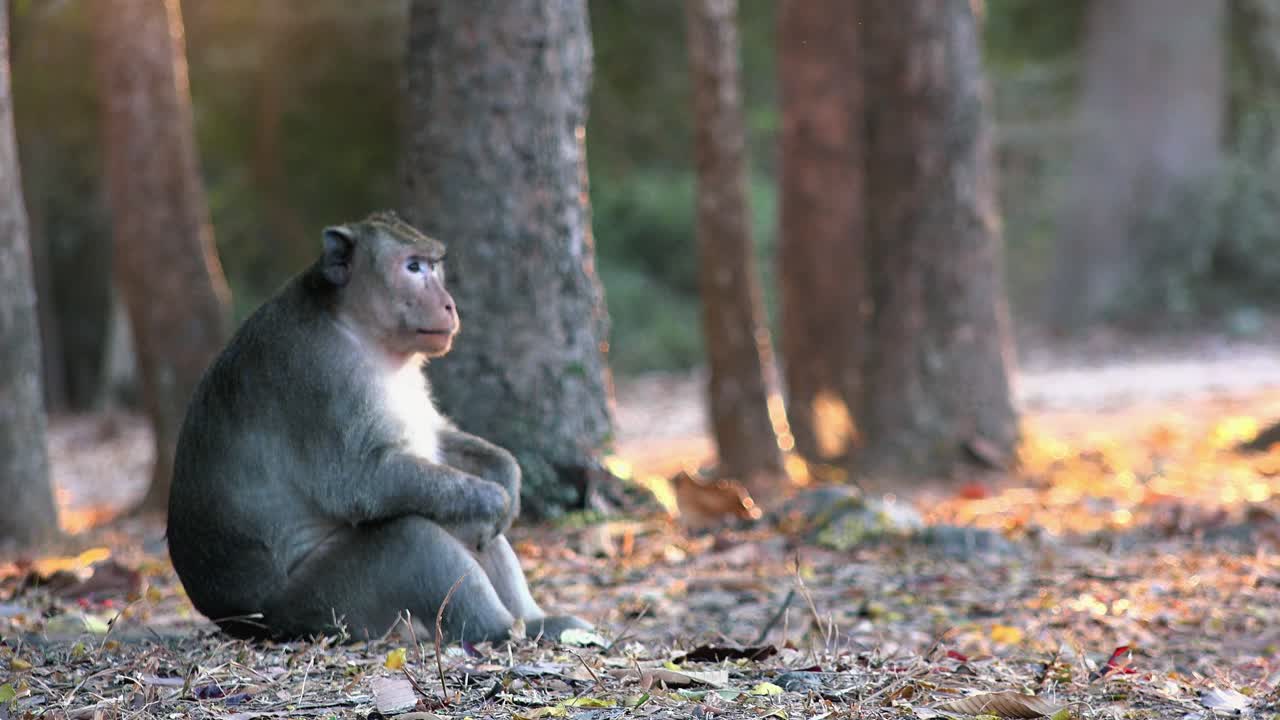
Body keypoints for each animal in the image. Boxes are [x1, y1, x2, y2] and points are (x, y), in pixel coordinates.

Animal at [166, 211, 592, 644]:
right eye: (413, 267)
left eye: (434, 265)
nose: (449, 304)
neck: (354, 325)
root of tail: (241, 621)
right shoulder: (323, 378)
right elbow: (360, 483)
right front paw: (495, 499)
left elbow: (436, 441)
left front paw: (506, 475)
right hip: (327, 607)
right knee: (411, 540)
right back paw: (500, 630)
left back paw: (539, 623)